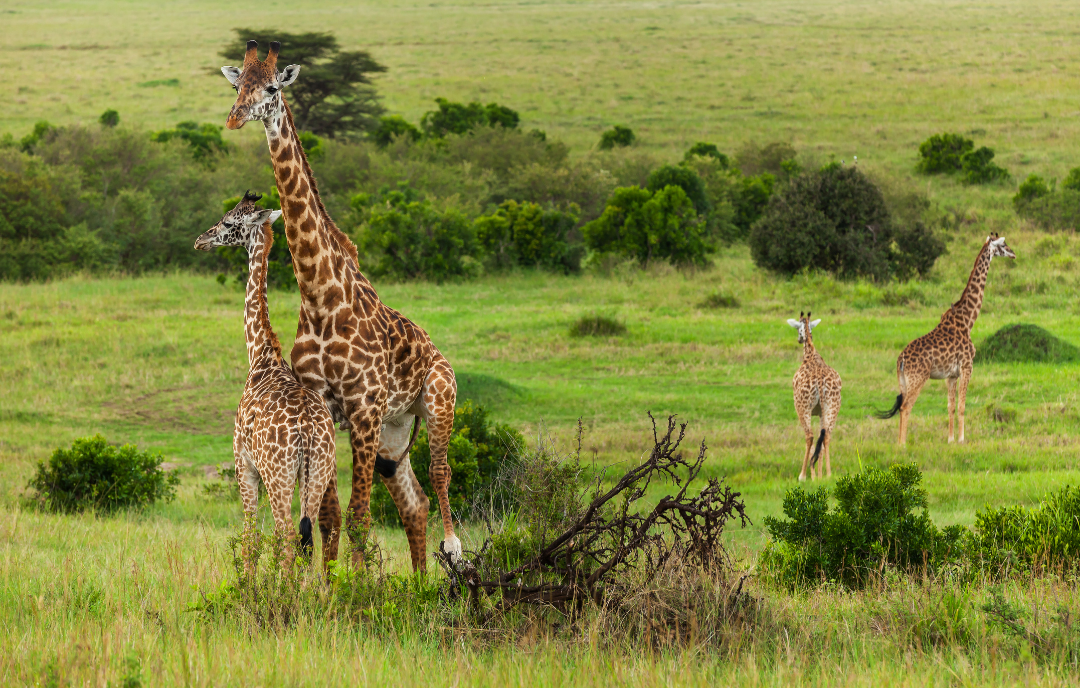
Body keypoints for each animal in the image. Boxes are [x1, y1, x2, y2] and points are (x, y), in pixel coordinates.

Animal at [194, 192, 336, 570]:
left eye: (229, 222)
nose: (201, 239)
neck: (260, 354)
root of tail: (306, 431)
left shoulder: (243, 464)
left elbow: (249, 538)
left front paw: (246, 583)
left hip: (278, 474)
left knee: (285, 536)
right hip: (318, 473)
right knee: (309, 539)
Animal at [219, 38, 460, 570]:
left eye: (272, 88)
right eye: (237, 85)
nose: (235, 118)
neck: (320, 296)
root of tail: (436, 352)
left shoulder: (364, 410)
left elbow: (358, 519)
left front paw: (355, 585)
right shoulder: (327, 407)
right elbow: (327, 519)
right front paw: (332, 584)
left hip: (437, 401)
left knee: (440, 472)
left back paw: (454, 551)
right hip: (395, 431)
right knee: (413, 502)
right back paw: (420, 581)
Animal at [786, 308, 842, 477]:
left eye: (797, 328)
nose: (799, 340)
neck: (810, 355)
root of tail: (820, 382)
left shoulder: (808, 410)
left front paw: (812, 475)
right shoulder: (820, 412)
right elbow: (821, 441)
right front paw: (819, 475)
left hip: (802, 407)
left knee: (809, 436)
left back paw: (803, 475)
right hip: (832, 407)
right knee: (826, 436)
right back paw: (828, 474)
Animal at [881, 233, 1015, 442]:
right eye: (1003, 245)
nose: (1013, 253)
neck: (968, 319)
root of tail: (901, 359)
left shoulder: (951, 374)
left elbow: (950, 406)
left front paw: (950, 439)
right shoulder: (967, 367)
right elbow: (962, 405)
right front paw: (961, 439)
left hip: (902, 381)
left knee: (902, 406)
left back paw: (897, 443)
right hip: (918, 378)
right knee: (905, 407)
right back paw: (902, 444)